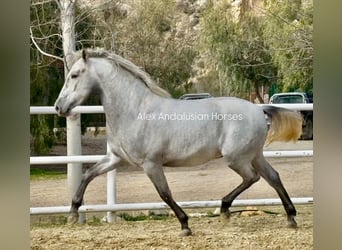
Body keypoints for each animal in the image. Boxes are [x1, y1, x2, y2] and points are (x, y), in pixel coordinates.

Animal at [55, 48, 302, 236]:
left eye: (74, 75)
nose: (59, 107)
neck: (135, 110)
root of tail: (259, 109)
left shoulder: (151, 164)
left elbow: (165, 193)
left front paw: (185, 225)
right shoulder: (116, 158)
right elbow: (88, 174)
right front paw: (72, 213)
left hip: (236, 158)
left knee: (253, 177)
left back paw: (224, 210)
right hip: (254, 155)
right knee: (273, 177)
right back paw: (290, 218)